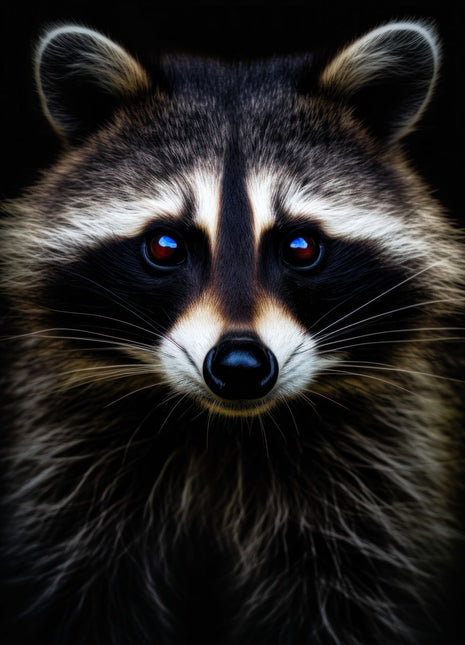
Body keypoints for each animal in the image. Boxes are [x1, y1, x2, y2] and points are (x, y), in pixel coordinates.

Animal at [0, 19, 464, 645]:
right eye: (165, 245)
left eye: (301, 246)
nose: (240, 368)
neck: (225, 432)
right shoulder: (64, 467)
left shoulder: (380, 474)